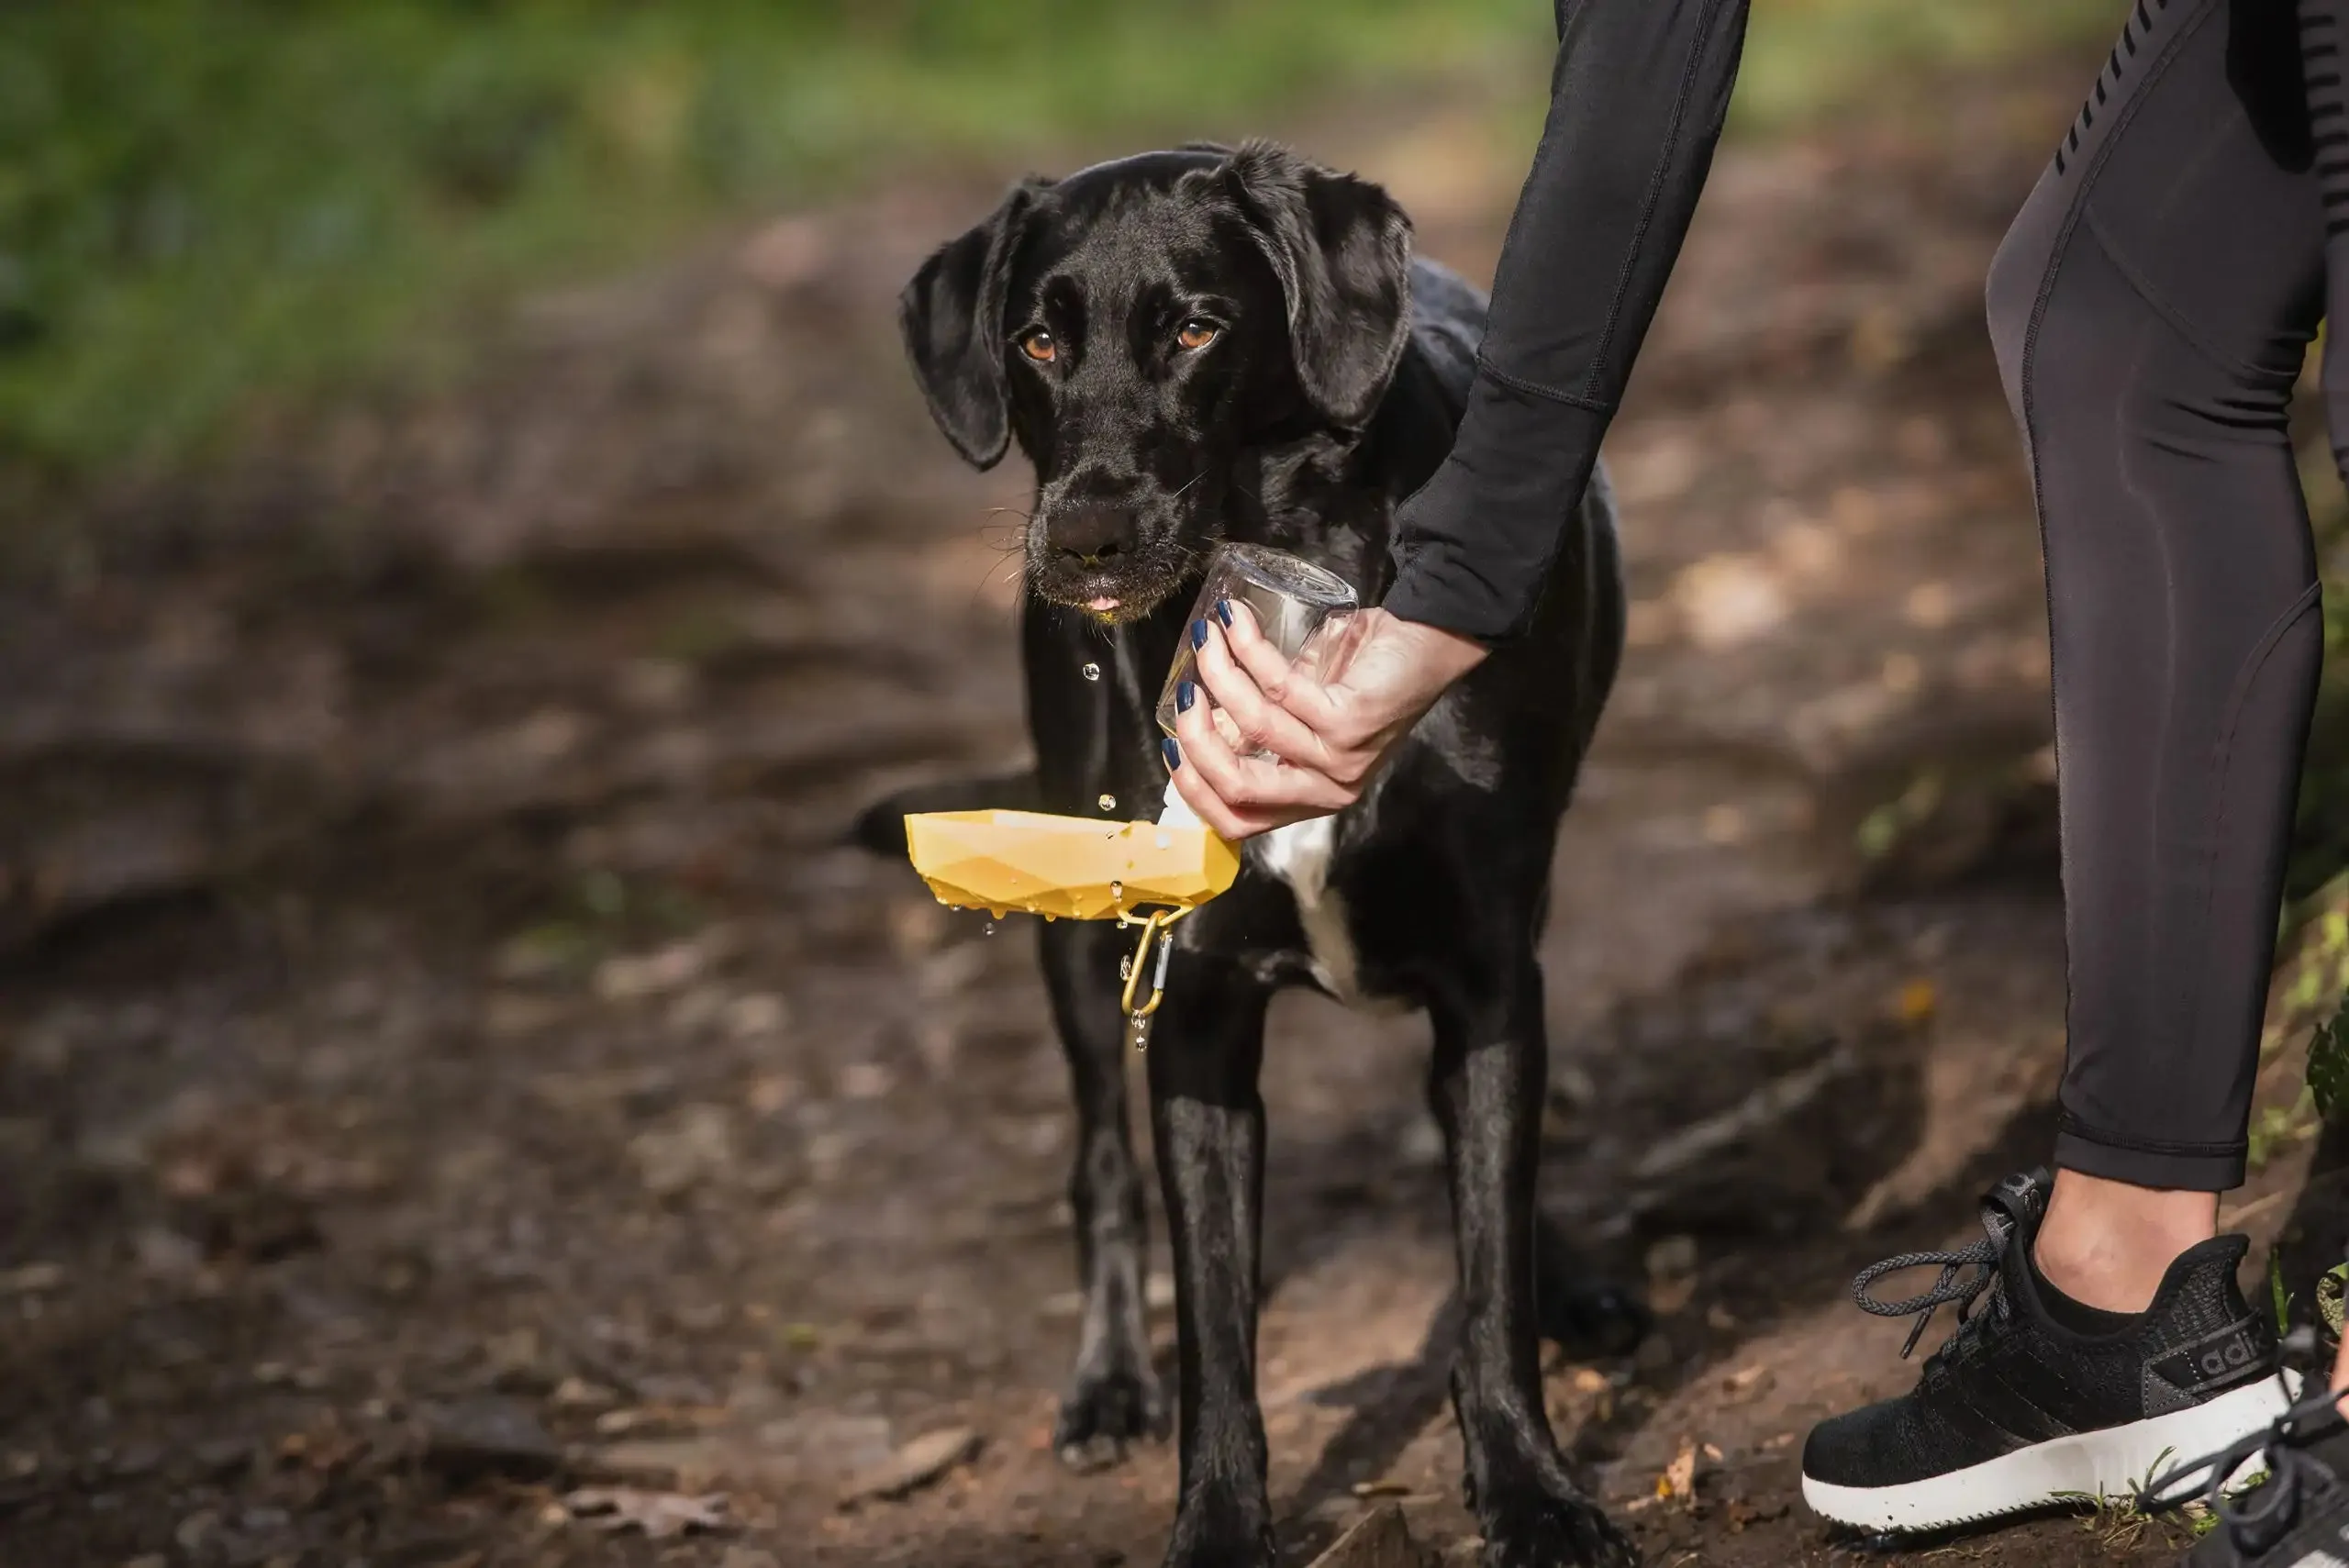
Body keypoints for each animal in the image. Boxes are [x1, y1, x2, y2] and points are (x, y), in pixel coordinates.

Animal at [887, 140, 1644, 1558]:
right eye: (1035, 340)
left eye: (1195, 328)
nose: (1083, 537)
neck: (1277, 590)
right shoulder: (1191, 1011)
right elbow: (1217, 1329)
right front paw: (1221, 1522)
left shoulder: (1488, 969)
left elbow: (1489, 1259)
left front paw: (1532, 1486)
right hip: (1078, 936)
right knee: (1098, 1165)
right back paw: (1105, 1381)